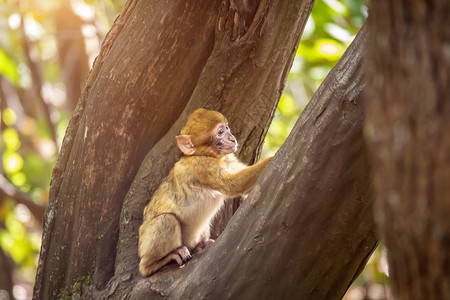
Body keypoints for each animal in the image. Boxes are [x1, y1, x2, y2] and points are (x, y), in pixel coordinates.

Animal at [138, 108, 270, 276]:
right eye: (220, 132)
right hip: (145, 242)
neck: (203, 154)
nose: (232, 139)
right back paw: (157, 262)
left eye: (226, 128)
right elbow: (234, 185)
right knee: (166, 220)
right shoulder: (202, 166)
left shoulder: (228, 159)